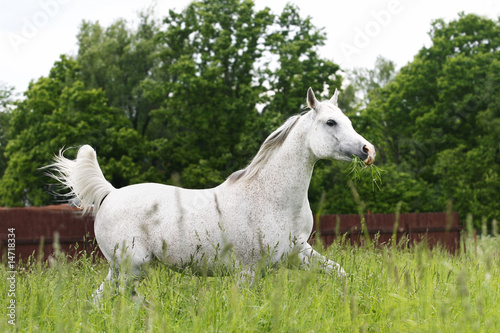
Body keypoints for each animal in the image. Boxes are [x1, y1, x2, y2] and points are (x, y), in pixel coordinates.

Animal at [48, 87, 376, 300]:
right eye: (331, 122)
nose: (367, 150)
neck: (272, 199)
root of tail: (111, 194)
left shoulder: (298, 253)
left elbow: (339, 273)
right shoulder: (248, 271)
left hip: (122, 269)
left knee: (102, 298)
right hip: (131, 266)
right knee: (121, 295)